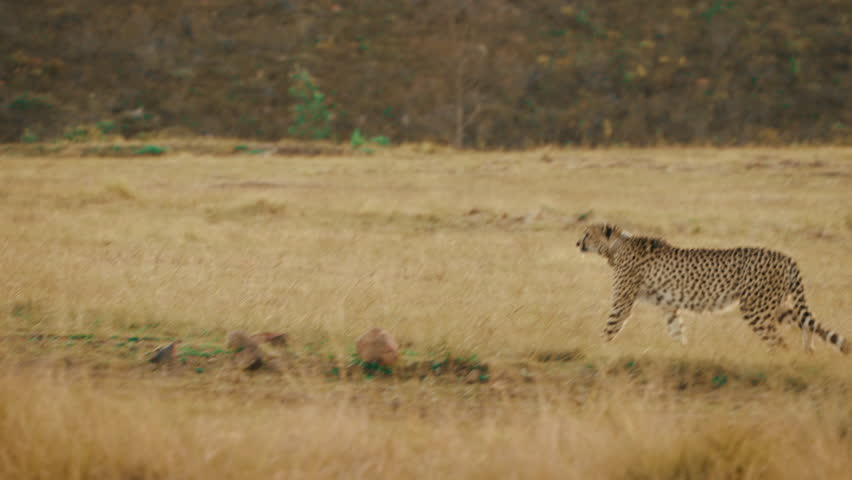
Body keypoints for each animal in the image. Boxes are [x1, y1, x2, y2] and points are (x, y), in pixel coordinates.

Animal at [576, 223, 848, 354]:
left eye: (588, 234)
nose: (578, 243)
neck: (616, 247)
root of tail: (786, 256)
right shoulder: (669, 306)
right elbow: (676, 330)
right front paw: (683, 352)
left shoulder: (622, 302)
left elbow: (611, 326)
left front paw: (597, 349)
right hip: (773, 304)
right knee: (806, 323)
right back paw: (808, 351)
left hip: (755, 308)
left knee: (778, 341)